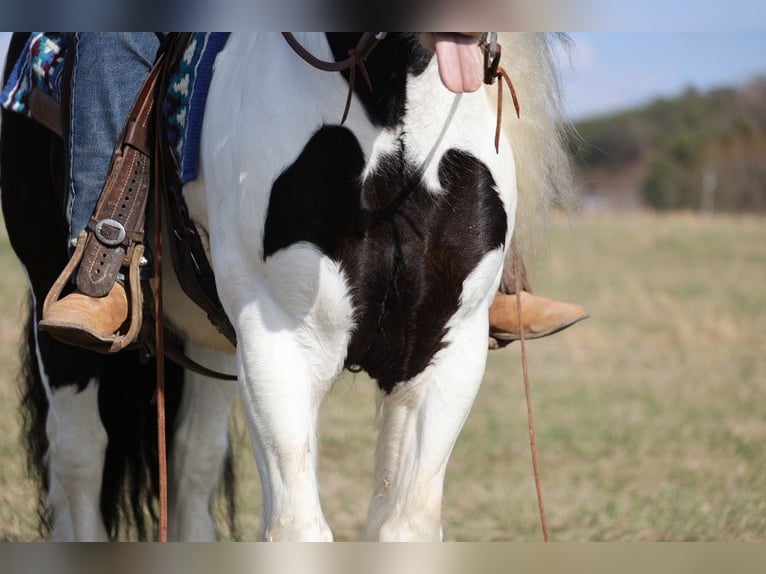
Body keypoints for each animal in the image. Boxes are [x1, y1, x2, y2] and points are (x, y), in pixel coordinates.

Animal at [0, 32, 568, 544]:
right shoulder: (279, 342)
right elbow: (298, 527)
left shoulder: (443, 351)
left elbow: (404, 528)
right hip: (60, 314)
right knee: (79, 455)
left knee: (192, 458)